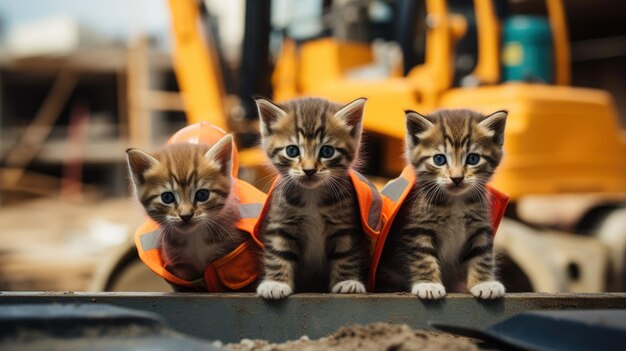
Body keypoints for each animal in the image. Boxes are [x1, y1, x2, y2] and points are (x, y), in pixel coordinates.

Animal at [254, 97, 370, 300]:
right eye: (292, 151)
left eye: (327, 151)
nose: (309, 170)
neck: (312, 195)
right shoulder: (280, 222)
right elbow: (278, 251)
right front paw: (275, 284)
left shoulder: (345, 225)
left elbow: (346, 253)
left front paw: (347, 281)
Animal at [372, 109, 504, 300]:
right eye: (439, 160)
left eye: (473, 159)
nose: (457, 178)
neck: (456, 201)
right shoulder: (417, 228)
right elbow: (422, 256)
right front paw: (429, 285)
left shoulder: (480, 225)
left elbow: (482, 254)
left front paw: (484, 283)